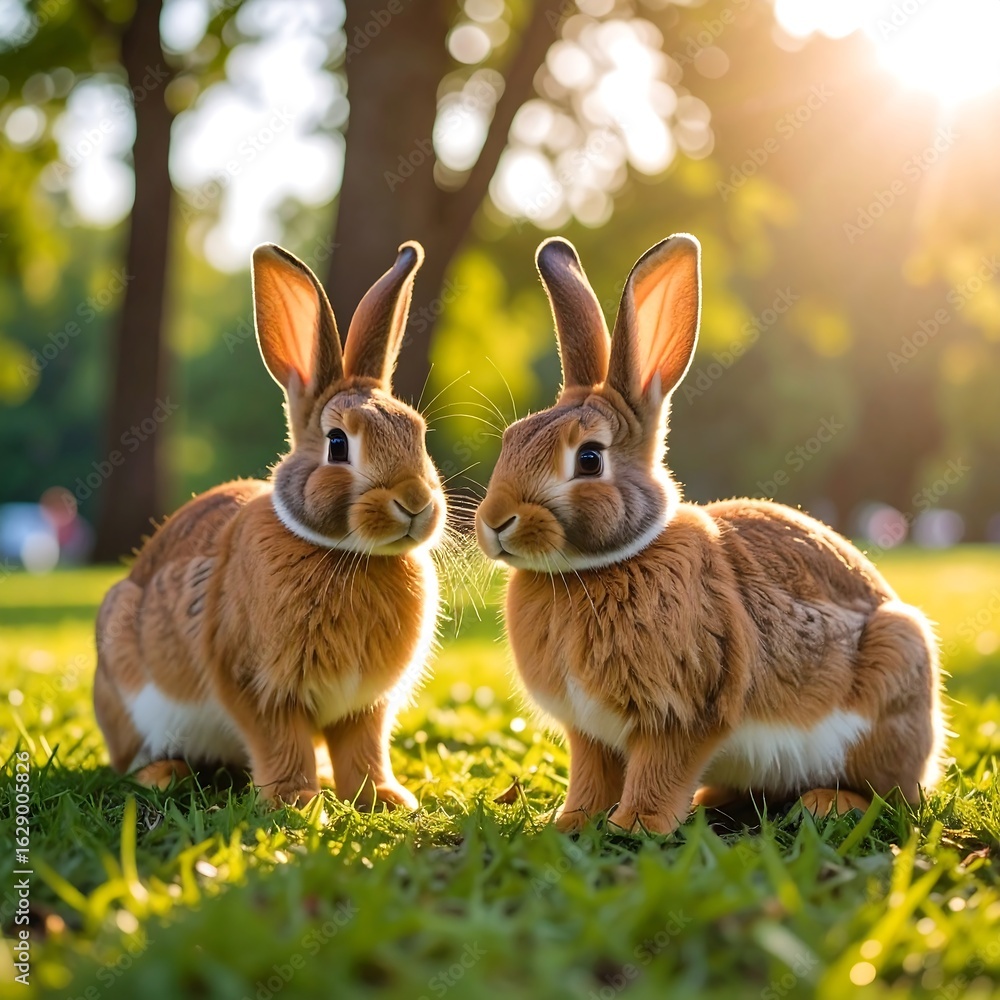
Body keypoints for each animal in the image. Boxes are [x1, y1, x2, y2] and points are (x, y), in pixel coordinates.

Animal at [94, 241, 445, 809]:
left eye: (419, 433)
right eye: (338, 444)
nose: (415, 502)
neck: (346, 552)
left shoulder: (365, 704)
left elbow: (364, 748)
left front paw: (383, 799)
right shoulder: (257, 686)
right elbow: (280, 741)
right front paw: (294, 801)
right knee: (133, 759)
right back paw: (164, 774)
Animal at [475, 233, 944, 835]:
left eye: (589, 459)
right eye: (512, 438)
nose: (495, 522)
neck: (596, 568)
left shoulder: (684, 714)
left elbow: (659, 772)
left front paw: (637, 826)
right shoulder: (590, 731)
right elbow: (591, 774)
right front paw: (573, 823)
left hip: (895, 674)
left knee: (891, 797)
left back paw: (826, 804)